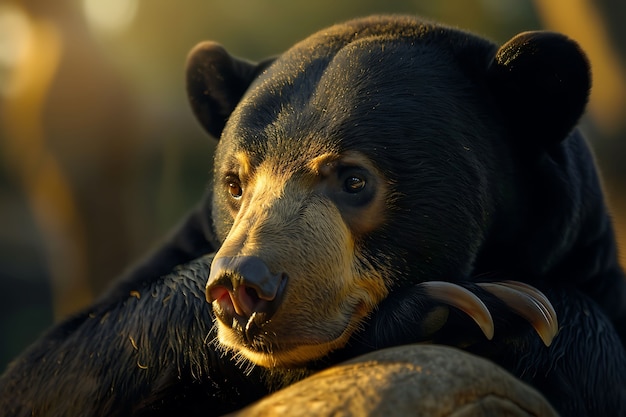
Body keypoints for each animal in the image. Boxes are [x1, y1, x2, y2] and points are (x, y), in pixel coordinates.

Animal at [1, 13, 624, 416]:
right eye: (234, 184)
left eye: (355, 181)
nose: (242, 289)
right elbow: (53, 369)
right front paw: (470, 308)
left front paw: (505, 313)